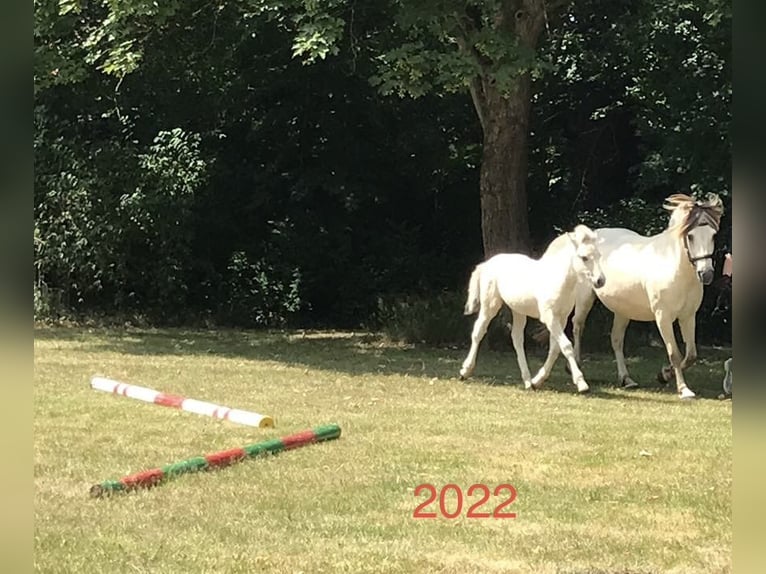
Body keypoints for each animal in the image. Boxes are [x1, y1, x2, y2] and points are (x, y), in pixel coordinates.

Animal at [459, 225, 606, 393]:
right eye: (584, 257)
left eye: (599, 255)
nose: (600, 281)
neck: (557, 279)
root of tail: (487, 264)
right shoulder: (549, 317)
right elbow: (566, 346)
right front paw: (581, 383)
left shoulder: (561, 318)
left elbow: (555, 348)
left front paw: (538, 381)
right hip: (490, 305)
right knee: (478, 332)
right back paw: (465, 371)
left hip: (518, 311)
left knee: (517, 338)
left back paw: (528, 381)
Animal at [571, 193, 724, 399]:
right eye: (690, 236)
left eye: (713, 235)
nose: (706, 274)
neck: (675, 268)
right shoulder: (663, 318)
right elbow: (674, 353)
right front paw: (684, 389)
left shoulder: (688, 316)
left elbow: (691, 355)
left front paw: (663, 375)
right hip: (585, 298)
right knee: (578, 327)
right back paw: (576, 368)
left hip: (623, 310)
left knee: (616, 339)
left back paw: (627, 379)